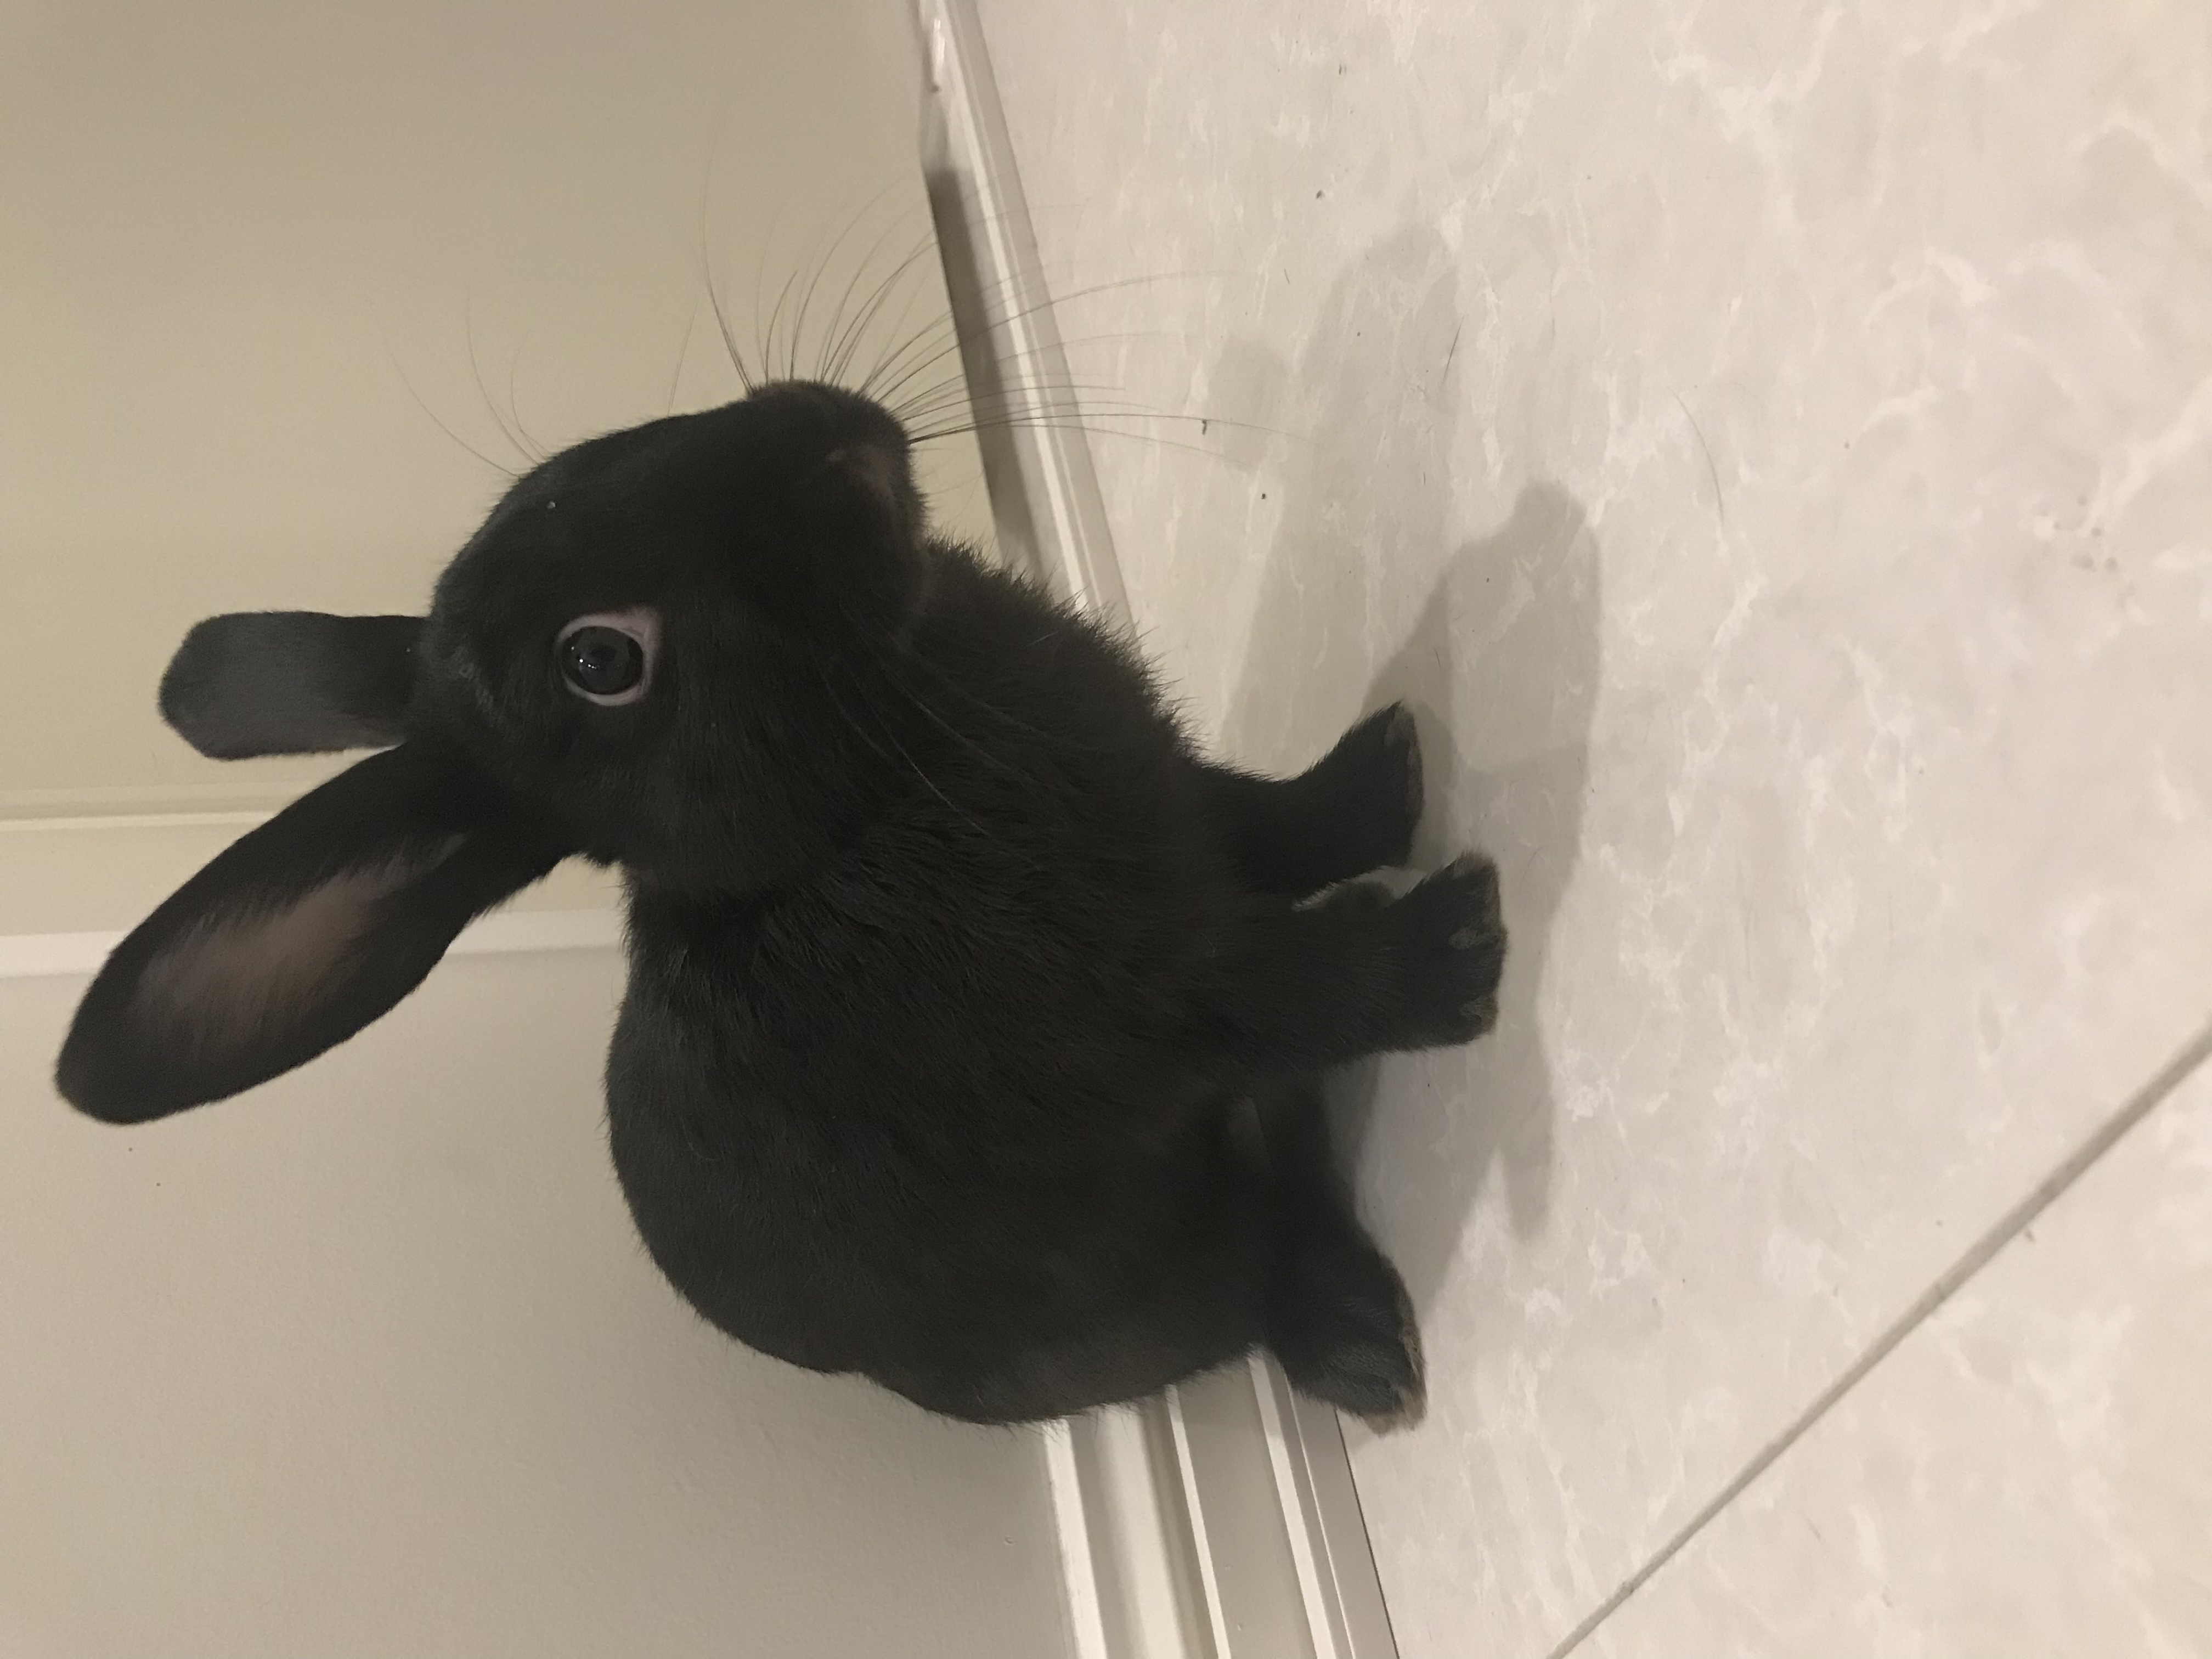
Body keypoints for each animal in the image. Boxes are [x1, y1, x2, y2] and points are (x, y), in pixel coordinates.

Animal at [56, 379, 1505, 1429]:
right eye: (602, 661)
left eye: (563, 474)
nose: (823, 438)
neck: (859, 797)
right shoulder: (1141, 1010)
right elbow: (1298, 991)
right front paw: (1460, 940)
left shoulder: (1182, 813)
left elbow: (1268, 822)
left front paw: (1384, 777)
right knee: (1260, 1241)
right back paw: (1361, 1349)